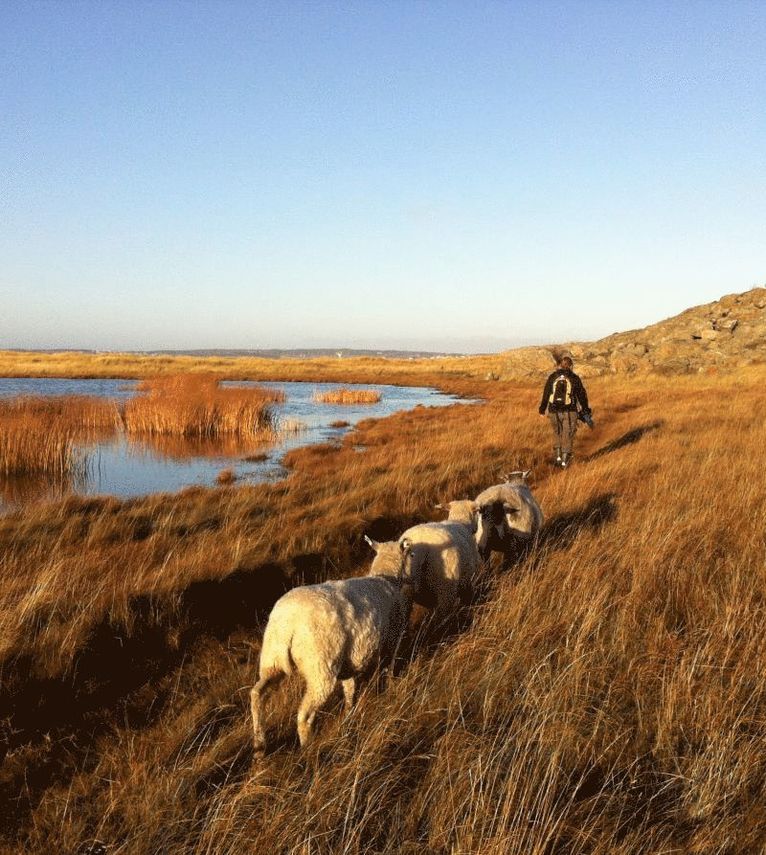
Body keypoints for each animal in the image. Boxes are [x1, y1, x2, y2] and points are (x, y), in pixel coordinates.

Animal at [252, 540, 414, 748]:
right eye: (411, 554)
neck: (386, 579)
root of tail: (289, 623)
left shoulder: (350, 662)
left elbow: (349, 688)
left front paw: (349, 712)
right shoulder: (391, 643)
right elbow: (388, 670)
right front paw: (391, 691)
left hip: (271, 660)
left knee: (257, 695)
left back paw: (259, 744)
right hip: (320, 668)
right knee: (304, 715)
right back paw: (308, 748)